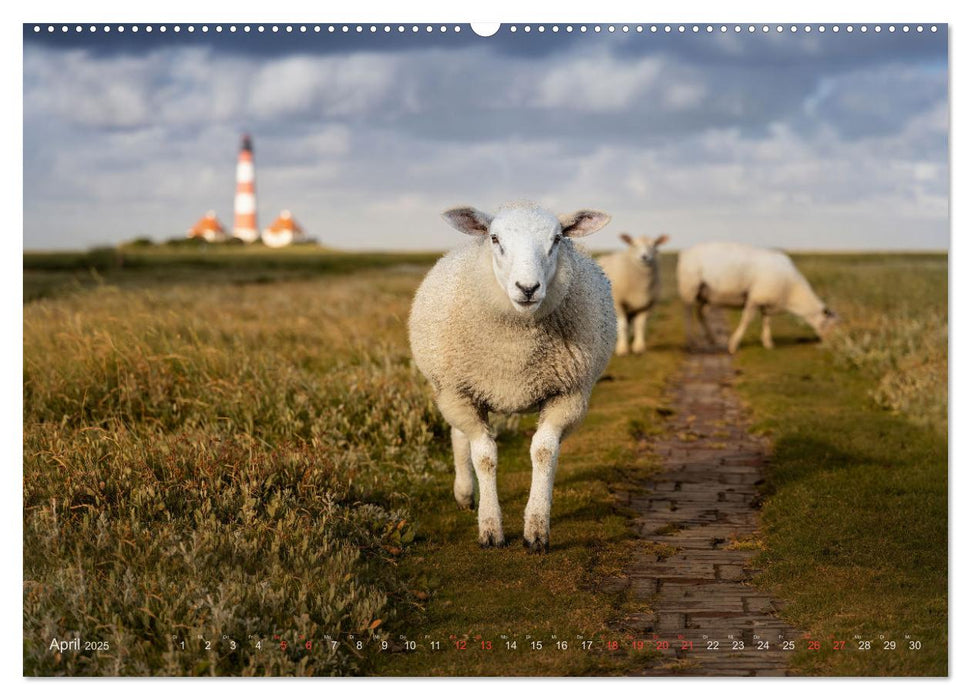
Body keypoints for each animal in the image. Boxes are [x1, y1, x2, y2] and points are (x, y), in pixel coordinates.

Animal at [410, 201, 616, 552]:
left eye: (557, 239)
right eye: (495, 238)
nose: (527, 288)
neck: (515, 353)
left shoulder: (569, 395)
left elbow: (544, 452)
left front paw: (536, 529)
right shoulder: (460, 392)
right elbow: (484, 457)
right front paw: (490, 528)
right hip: (452, 391)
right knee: (459, 436)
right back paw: (465, 493)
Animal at [676, 242, 836, 352]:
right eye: (828, 324)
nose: (830, 344)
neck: (792, 291)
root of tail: (685, 253)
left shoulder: (766, 301)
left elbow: (766, 321)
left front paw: (767, 343)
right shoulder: (755, 298)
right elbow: (746, 320)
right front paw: (733, 345)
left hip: (705, 295)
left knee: (700, 314)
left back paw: (712, 339)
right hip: (690, 287)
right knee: (687, 314)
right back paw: (692, 343)